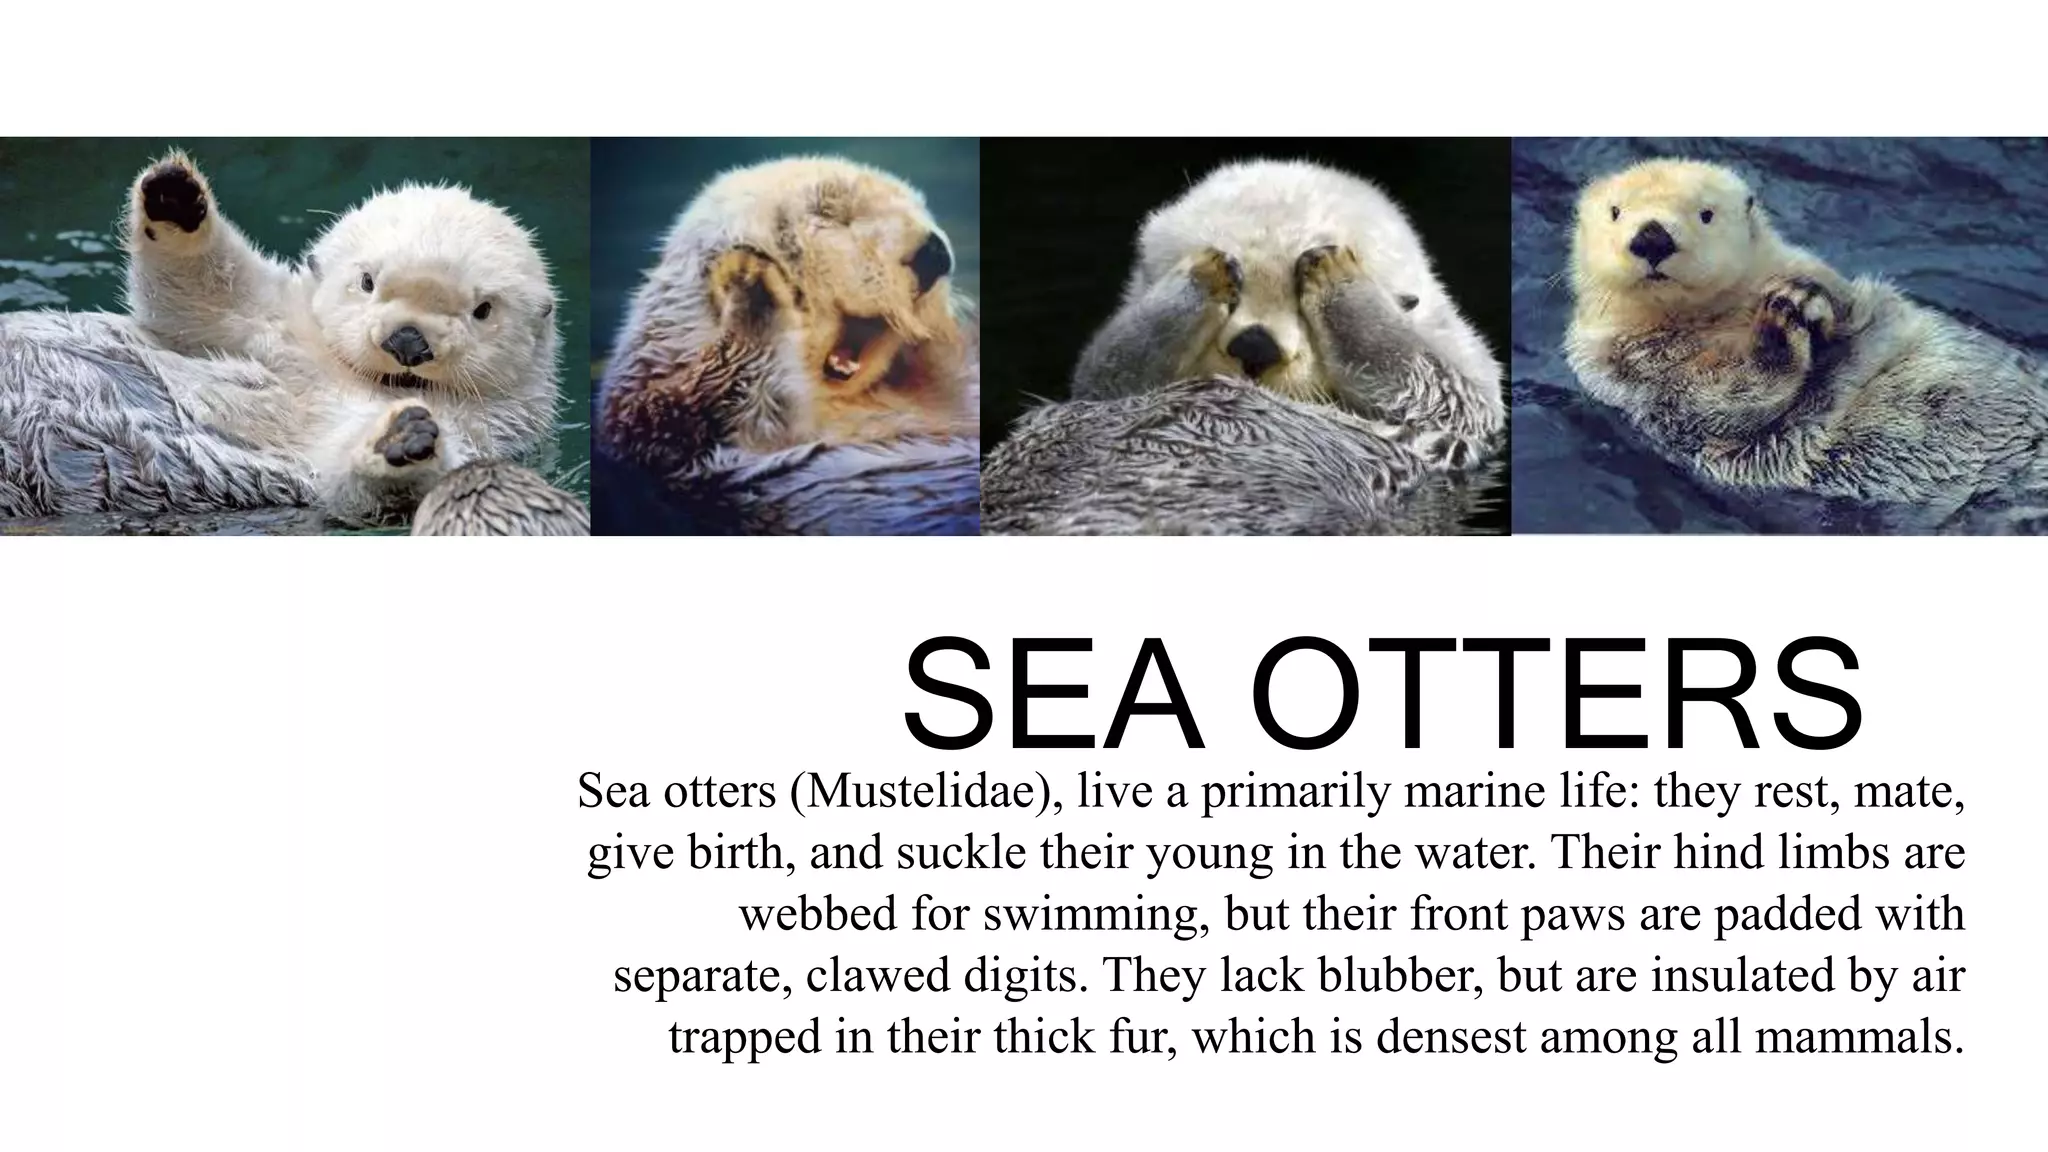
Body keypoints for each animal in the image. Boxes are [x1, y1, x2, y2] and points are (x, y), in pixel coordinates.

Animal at [0, 151, 564, 527]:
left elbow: (356, 482)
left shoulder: (482, 434)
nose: (407, 343)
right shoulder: (276, 326)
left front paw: (401, 440)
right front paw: (176, 198)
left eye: (482, 310)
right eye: (367, 282)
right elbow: (202, 296)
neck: (349, 377)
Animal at [1566, 158, 2048, 532]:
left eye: (1705, 214)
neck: (1713, 321)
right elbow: (1721, 401)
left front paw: (1805, 300)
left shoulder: (1820, 276)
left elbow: (1850, 309)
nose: (1652, 237)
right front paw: (1779, 323)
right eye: (1615, 211)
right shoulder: (1633, 373)